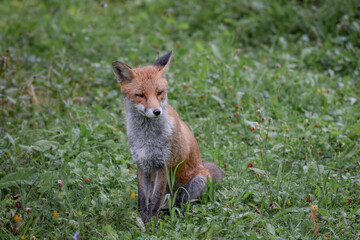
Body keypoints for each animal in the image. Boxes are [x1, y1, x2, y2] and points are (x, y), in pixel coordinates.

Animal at [112, 51, 222, 225]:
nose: (157, 111)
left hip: (197, 182)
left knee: (179, 205)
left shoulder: (163, 164)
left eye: (159, 92)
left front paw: (151, 225)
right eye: (140, 95)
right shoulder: (141, 164)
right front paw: (143, 221)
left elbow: (154, 202)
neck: (147, 138)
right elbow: (144, 200)